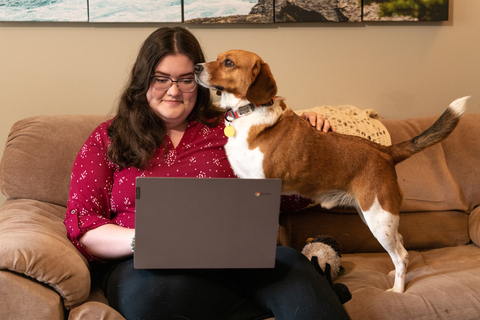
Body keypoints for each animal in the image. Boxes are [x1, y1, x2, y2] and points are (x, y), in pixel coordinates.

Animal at [194, 49, 468, 292]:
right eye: (218, 58)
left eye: (228, 62)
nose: (196, 67)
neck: (248, 111)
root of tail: (384, 150)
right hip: (374, 214)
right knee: (402, 247)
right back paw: (394, 273)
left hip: (379, 217)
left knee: (400, 254)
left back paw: (398, 291)